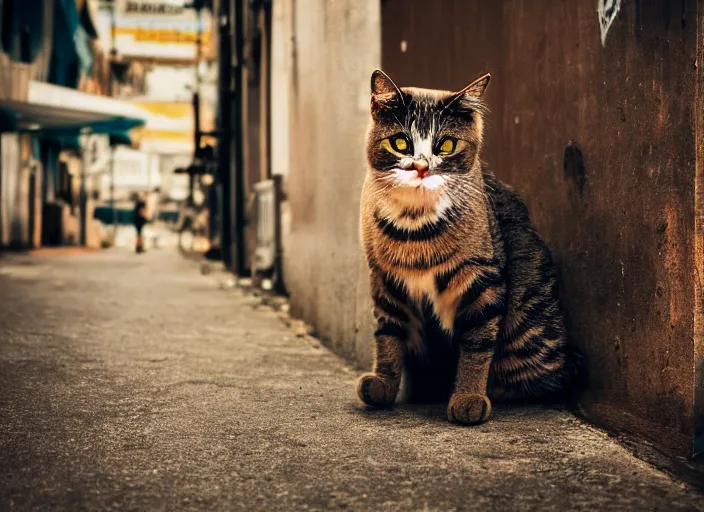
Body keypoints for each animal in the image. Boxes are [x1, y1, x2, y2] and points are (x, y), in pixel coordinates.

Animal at [358, 70, 584, 426]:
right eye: (400, 142)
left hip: (527, 335)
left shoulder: (483, 281)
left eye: (447, 145)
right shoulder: (384, 281)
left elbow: (477, 344)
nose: (421, 167)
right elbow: (388, 337)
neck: (415, 230)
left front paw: (468, 398)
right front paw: (383, 385)